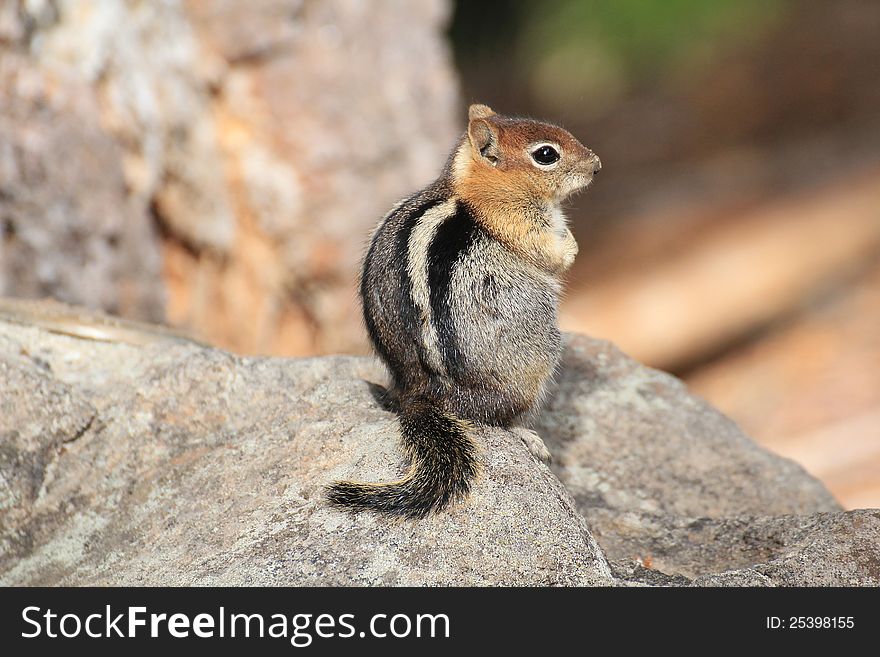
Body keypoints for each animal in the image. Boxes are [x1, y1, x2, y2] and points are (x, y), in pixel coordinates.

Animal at [326, 104, 600, 516]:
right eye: (546, 154)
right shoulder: (520, 225)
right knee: (497, 419)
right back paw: (528, 436)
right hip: (539, 361)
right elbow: (551, 254)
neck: (472, 187)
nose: (597, 165)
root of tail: (420, 393)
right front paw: (571, 248)